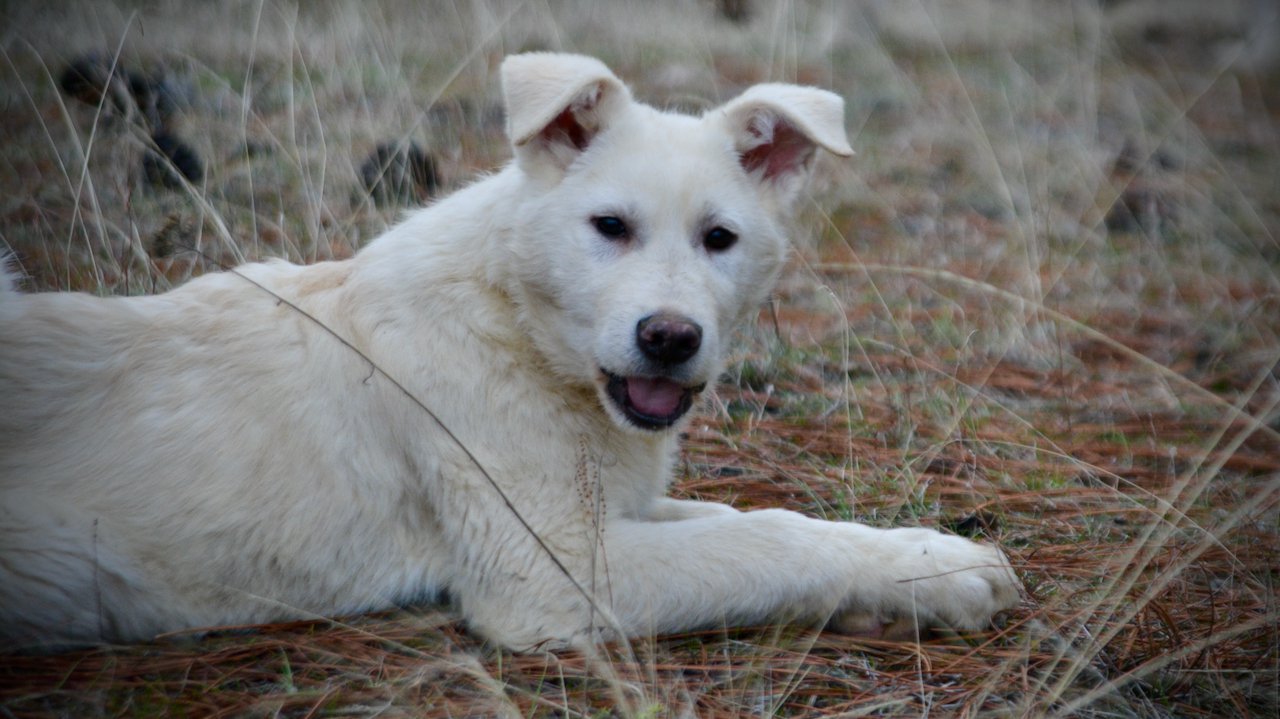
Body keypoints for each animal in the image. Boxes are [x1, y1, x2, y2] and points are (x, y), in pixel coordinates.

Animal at [0, 53, 1018, 649]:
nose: (670, 337)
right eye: (609, 226)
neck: (520, 325)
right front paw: (929, 570)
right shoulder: (546, 567)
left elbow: (752, 518)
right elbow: (759, 540)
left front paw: (920, 563)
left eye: (720, 239)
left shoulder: (611, 510)